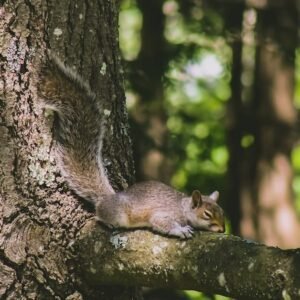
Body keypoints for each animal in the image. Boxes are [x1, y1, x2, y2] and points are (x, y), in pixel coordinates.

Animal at [37, 54, 225, 239]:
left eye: (222, 212)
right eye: (207, 214)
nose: (223, 229)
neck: (183, 209)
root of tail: (107, 198)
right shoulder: (164, 214)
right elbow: (162, 223)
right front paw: (181, 230)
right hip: (118, 214)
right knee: (98, 216)